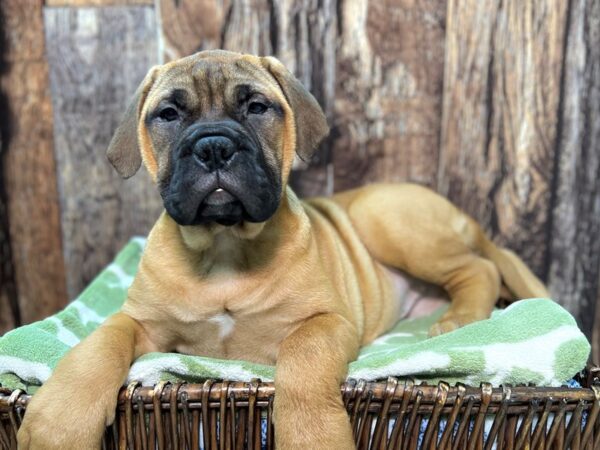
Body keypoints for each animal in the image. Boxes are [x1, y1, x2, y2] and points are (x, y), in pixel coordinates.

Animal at [16, 51, 548, 448]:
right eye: (168, 114)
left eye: (257, 107)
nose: (213, 147)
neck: (225, 247)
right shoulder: (138, 322)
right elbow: (94, 351)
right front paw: (56, 424)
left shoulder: (324, 321)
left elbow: (302, 362)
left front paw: (313, 436)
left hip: (387, 219)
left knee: (479, 267)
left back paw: (461, 318)